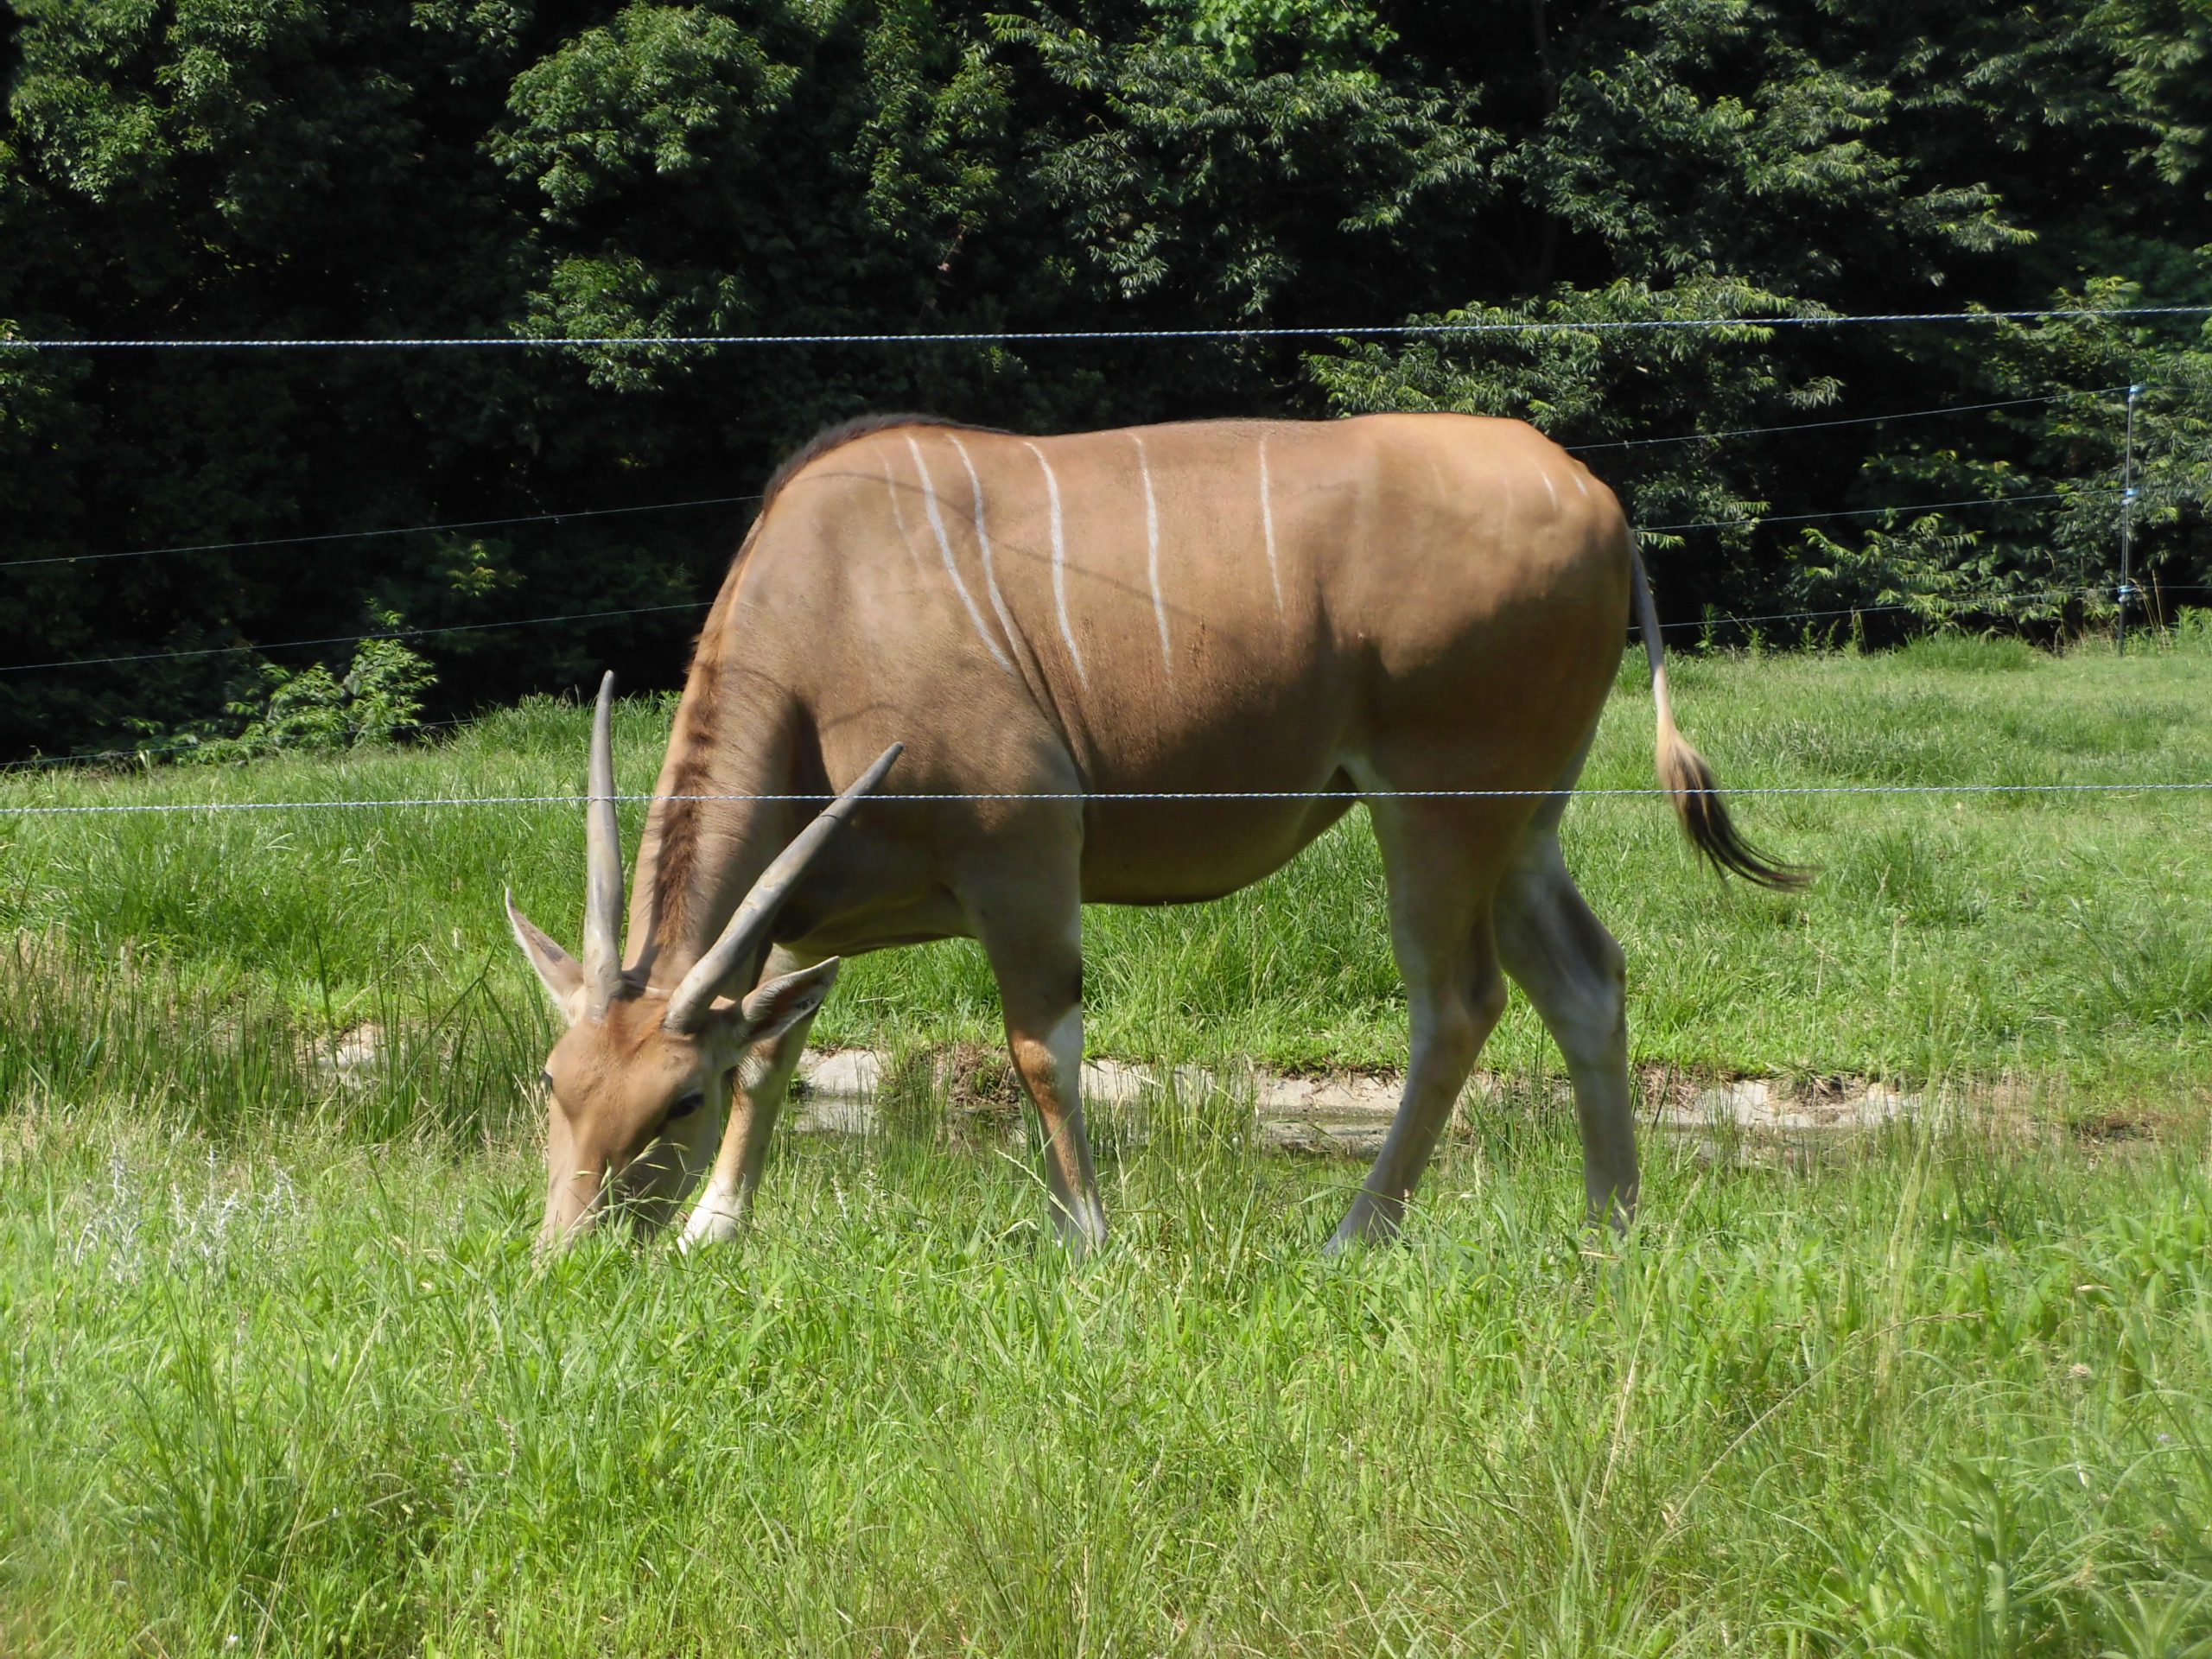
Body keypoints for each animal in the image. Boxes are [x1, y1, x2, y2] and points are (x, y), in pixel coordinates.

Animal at [512, 416, 1796, 1256]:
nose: (565, 1256)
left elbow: (1040, 1048)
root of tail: (1595, 496)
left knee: (1460, 1001)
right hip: (1523, 822)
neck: (830, 609)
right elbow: (778, 1046)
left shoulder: (1025, 860)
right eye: (554, 1083)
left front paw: (1085, 1237)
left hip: (1436, 808)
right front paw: (714, 1228)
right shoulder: (805, 914)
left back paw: (1354, 1235)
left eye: (675, 1105)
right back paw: (1610, 1227)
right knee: (1585, 979)